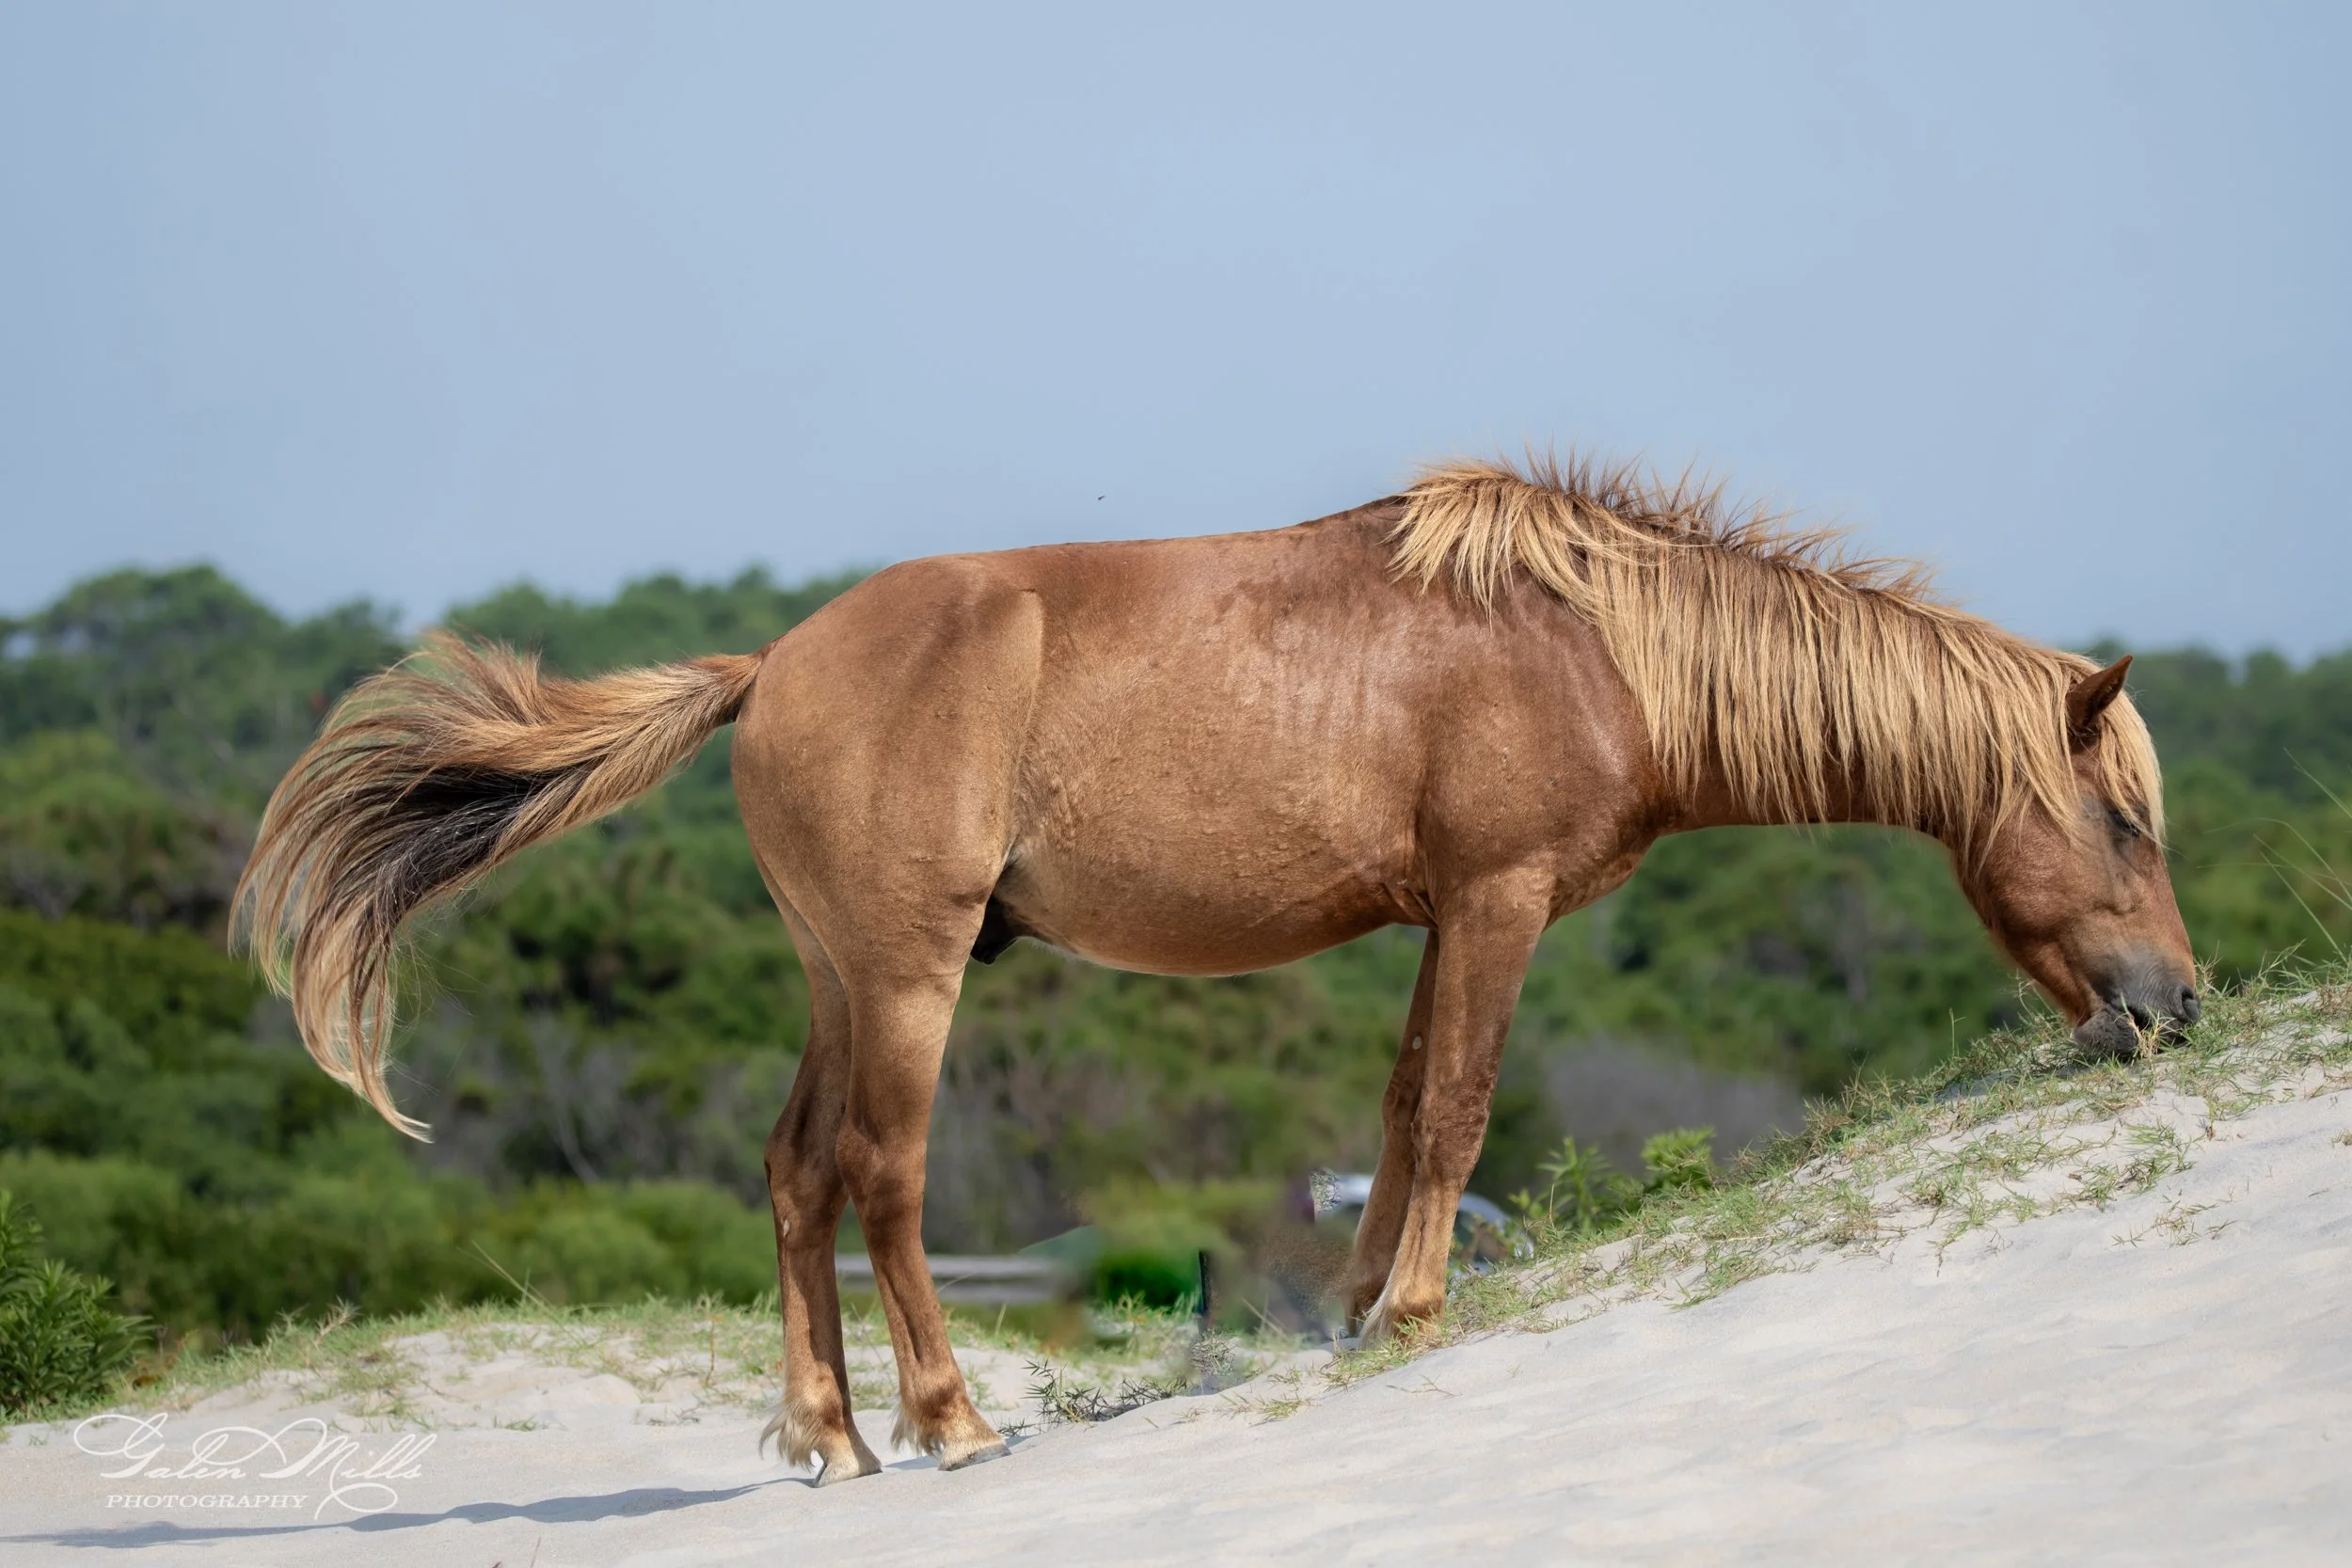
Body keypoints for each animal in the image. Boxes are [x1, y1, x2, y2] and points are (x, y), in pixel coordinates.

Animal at [236, 454, 2198, 1484]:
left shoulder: (1440, 917)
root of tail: (771, 663)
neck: (1586, 640)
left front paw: (1348, 1300)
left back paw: (832, 1436)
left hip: (836, 979)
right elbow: (1462, 1105)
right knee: (881, 1175)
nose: (2175, 1004)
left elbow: (1402, 1107)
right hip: (911, 978)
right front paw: (1411, 1314)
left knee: (794, 1174)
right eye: (2121, 820)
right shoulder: (1496, 904)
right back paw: (948, 1422)